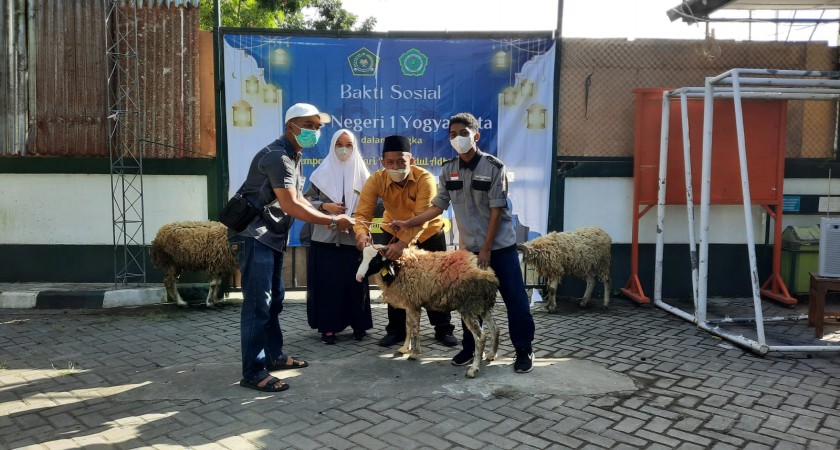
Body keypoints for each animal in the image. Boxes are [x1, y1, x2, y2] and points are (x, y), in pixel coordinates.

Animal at [354, 244, 498, 378]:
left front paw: (414, 353)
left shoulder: (414, 304)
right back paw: (491, 355)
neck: (400, 267)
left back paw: (473, 369)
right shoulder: (410, 302)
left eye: (375, 261)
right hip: (483, 306)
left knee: (480, 337)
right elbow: (408, 326)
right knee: (495, 329)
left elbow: (415, 328)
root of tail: (490, 275)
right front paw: (404, 348)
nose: (358, 277)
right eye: (361, 258)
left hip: (469, 306)